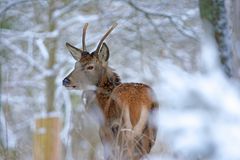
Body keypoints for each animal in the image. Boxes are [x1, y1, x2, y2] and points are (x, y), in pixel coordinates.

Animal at [62, 22, 158, 160]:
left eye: (90, 66)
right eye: (75, 65)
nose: (66, 80)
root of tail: (142, 103)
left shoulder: (105, 133)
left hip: (124, 130)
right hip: (150, 134)